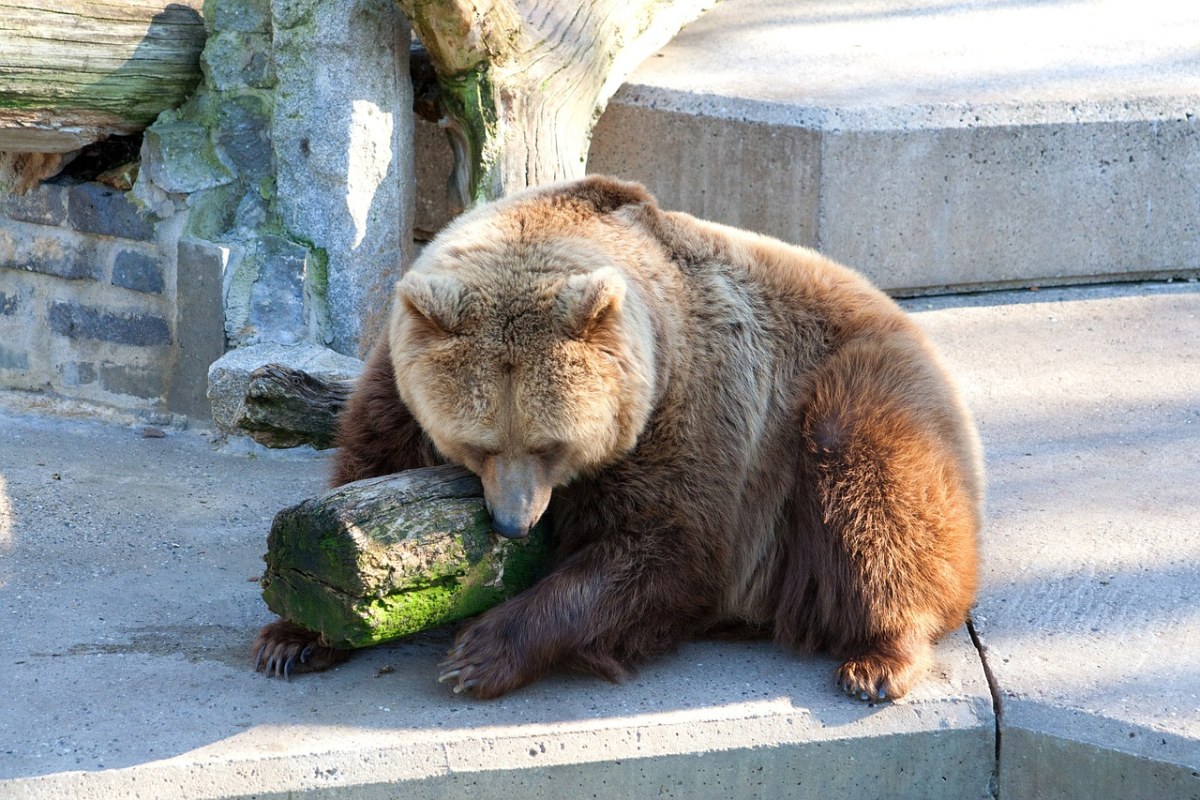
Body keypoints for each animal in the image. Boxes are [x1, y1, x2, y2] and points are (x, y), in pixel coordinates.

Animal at [255, 173, 984, 700]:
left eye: (550, 446)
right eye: (477, 445)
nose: (515, 523)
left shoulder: (690, 406)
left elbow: (662, 551)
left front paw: (479, 653)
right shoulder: (396, 386)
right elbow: (363, 470)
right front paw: (293, 636)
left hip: (847, 396)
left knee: (878, 499)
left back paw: (880, 659)